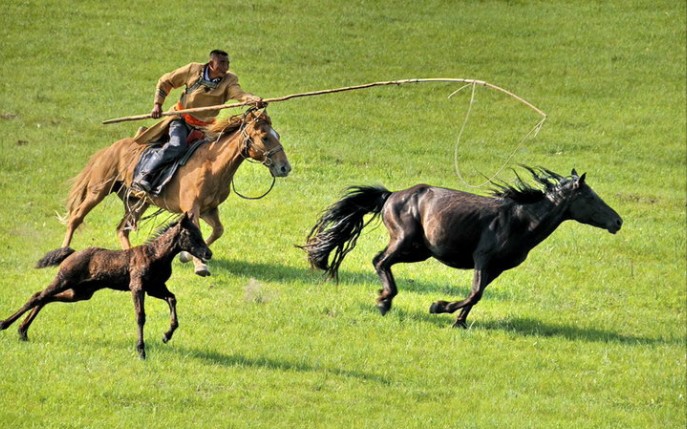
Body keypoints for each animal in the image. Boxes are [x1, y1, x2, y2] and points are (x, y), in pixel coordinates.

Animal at [0, 211, 212, 358]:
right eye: (191, 234)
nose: (208, 253)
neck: (157, 256)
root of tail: (71, 254)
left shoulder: (155, 288)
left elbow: (172, 299)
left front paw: (166, 335)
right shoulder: (137, 286)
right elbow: (140, 316)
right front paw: (141, 350)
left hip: (80, 293)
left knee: (45, 298)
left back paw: (22, 331)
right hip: (64, 279)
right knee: (38, 296)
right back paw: (6, 324)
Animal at [61, 107, 290, 274]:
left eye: (277, 135)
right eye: (265, 137)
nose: (285, 168)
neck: (212, 164)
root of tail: (109, 149)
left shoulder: (209, 209)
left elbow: (218, 230)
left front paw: (186, 256)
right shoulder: (192, 208)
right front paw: (199, 265)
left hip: (139, 203)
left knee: (121, 229)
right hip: (98, 191)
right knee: (76, 218)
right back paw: (63, 253)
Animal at [300, 167, 624, 328]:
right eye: (590, 197)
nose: (618, 221)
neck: (521, 220)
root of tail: (390, 195)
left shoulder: (497, 269)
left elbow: (476, 295)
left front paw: (459, 321)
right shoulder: (483, 259)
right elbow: (475, 293)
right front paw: (438, 307)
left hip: (419, 251)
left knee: (381, 261)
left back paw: (383, 297)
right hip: (405, 240)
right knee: (380, 261)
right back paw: (384, 301)